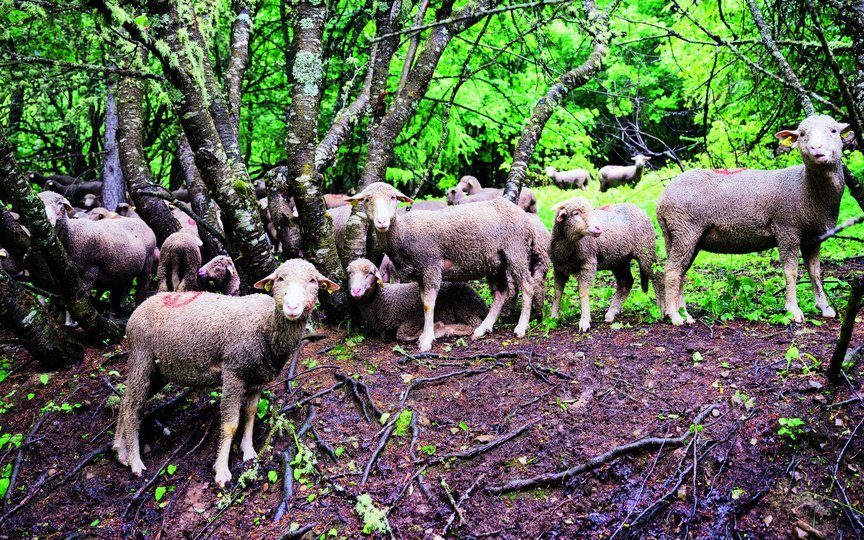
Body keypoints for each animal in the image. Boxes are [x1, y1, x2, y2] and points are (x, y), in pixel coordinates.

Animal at [114, 260, 340, 488]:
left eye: (312, 281)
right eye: (279, 279)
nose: (292, 307)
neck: (266, 325)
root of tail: (141, 307)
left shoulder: (258, 379)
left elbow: (251, 413)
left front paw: (248, 450)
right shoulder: (234, 373)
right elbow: (231, 424)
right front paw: (222, 470)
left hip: (159, 370)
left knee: (125, 399)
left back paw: (120, 451)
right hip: (141, 355)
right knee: (132, 407)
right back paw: (135, 461)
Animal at [348, 255, 490, 340]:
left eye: (371, 273)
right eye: (349, 273)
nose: (356, 291)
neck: (383, 299)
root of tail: (481, 301)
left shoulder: (415, 318)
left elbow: (401, 334)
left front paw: (435, 328)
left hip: (464, 306)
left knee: (475, 324)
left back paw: (449, 328)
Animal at [552, 198, 660, 334]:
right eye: (575, 213)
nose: (598, 228)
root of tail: (637, 208)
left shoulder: (589, 264)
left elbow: (583, 293)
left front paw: (584, 321)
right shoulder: (559, 268)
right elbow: (557, 293)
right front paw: (553, 317)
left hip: (645, 250)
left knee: (658, 277)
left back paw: (660, 309)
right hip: (619, 260)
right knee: (626, 283)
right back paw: (611, 313)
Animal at [660, 114, 848, 324]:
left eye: (833, 130)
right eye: (802, 134)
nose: (817, 148)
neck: (807, 187)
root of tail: (662, 200)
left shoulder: (812, 238)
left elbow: (815, 272)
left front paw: (825, 308)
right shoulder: (786, 228)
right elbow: (790, 271)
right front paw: (793, 311)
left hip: (678, 235)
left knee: (680, 271)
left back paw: (685, 314)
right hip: (685, 230)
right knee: (672, 271)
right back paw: (675, 316)